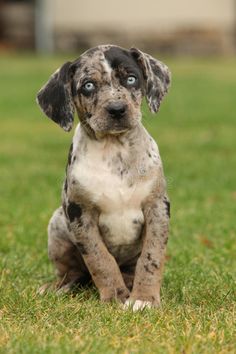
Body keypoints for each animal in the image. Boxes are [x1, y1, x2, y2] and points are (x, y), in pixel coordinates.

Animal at [36, 45, 170, 312]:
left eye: (131, 79)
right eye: (88, 85)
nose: (117, 109)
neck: (115, 150)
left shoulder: (157, 207)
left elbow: (151, 257)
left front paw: (144, 299)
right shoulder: (79, 214)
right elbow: (100, 260)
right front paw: (116, 297)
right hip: (57, 222)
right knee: (75, 273)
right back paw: (56, 288)